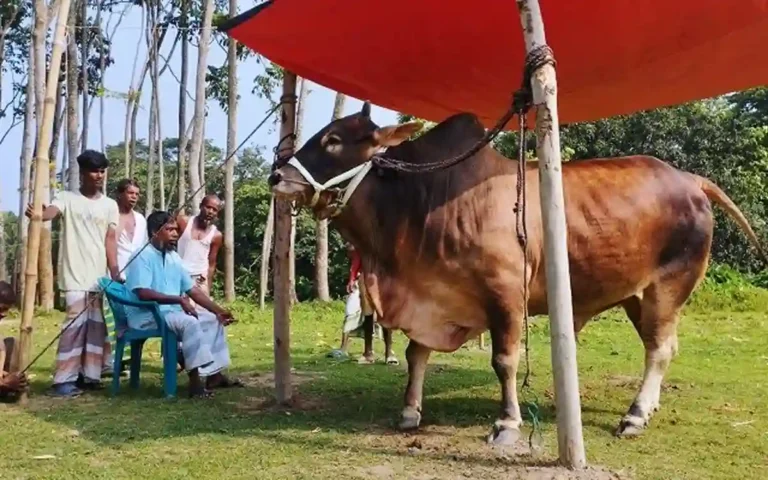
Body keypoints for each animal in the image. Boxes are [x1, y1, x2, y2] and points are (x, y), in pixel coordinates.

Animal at [268, 101, 763, 444]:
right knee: (662, 347)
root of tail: (691, 180)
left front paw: (506, 423)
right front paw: (410, 411)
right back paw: (649, 408)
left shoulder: (504, 296)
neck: (423, 199)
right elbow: (415, 354)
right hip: (637, 296)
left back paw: (635, 415)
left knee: (659, 350)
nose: (276, 177)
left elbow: (504, 361)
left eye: (333, 140)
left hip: (667, 287)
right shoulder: (430, 292)